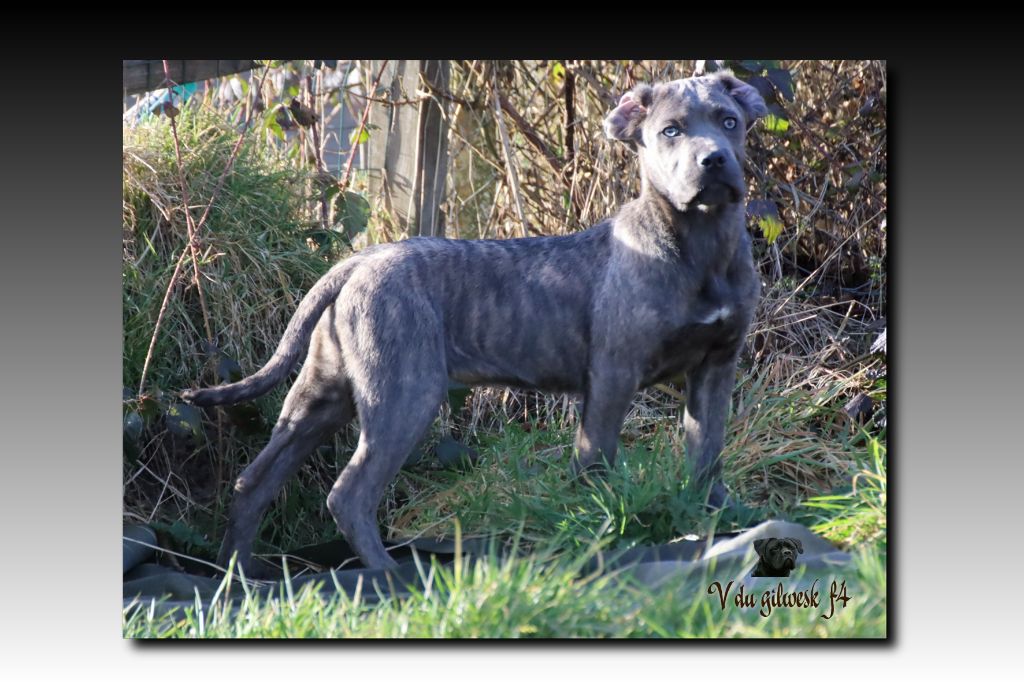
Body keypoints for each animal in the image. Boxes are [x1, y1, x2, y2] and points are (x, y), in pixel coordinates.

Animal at [180, 69, 765, 569]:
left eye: (728, 121)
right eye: (670, 131)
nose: (714, 161)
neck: (700, 247)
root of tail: (359, 261)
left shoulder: (715, 369)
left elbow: (707, 454)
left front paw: (718, 521)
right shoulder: (613, 375)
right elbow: (595, 461)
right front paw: (606, 535)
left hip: (324, 394)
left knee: (254, 482)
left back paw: (237, 576)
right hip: (404, 395)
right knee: (349, 495)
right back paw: (387, 579)